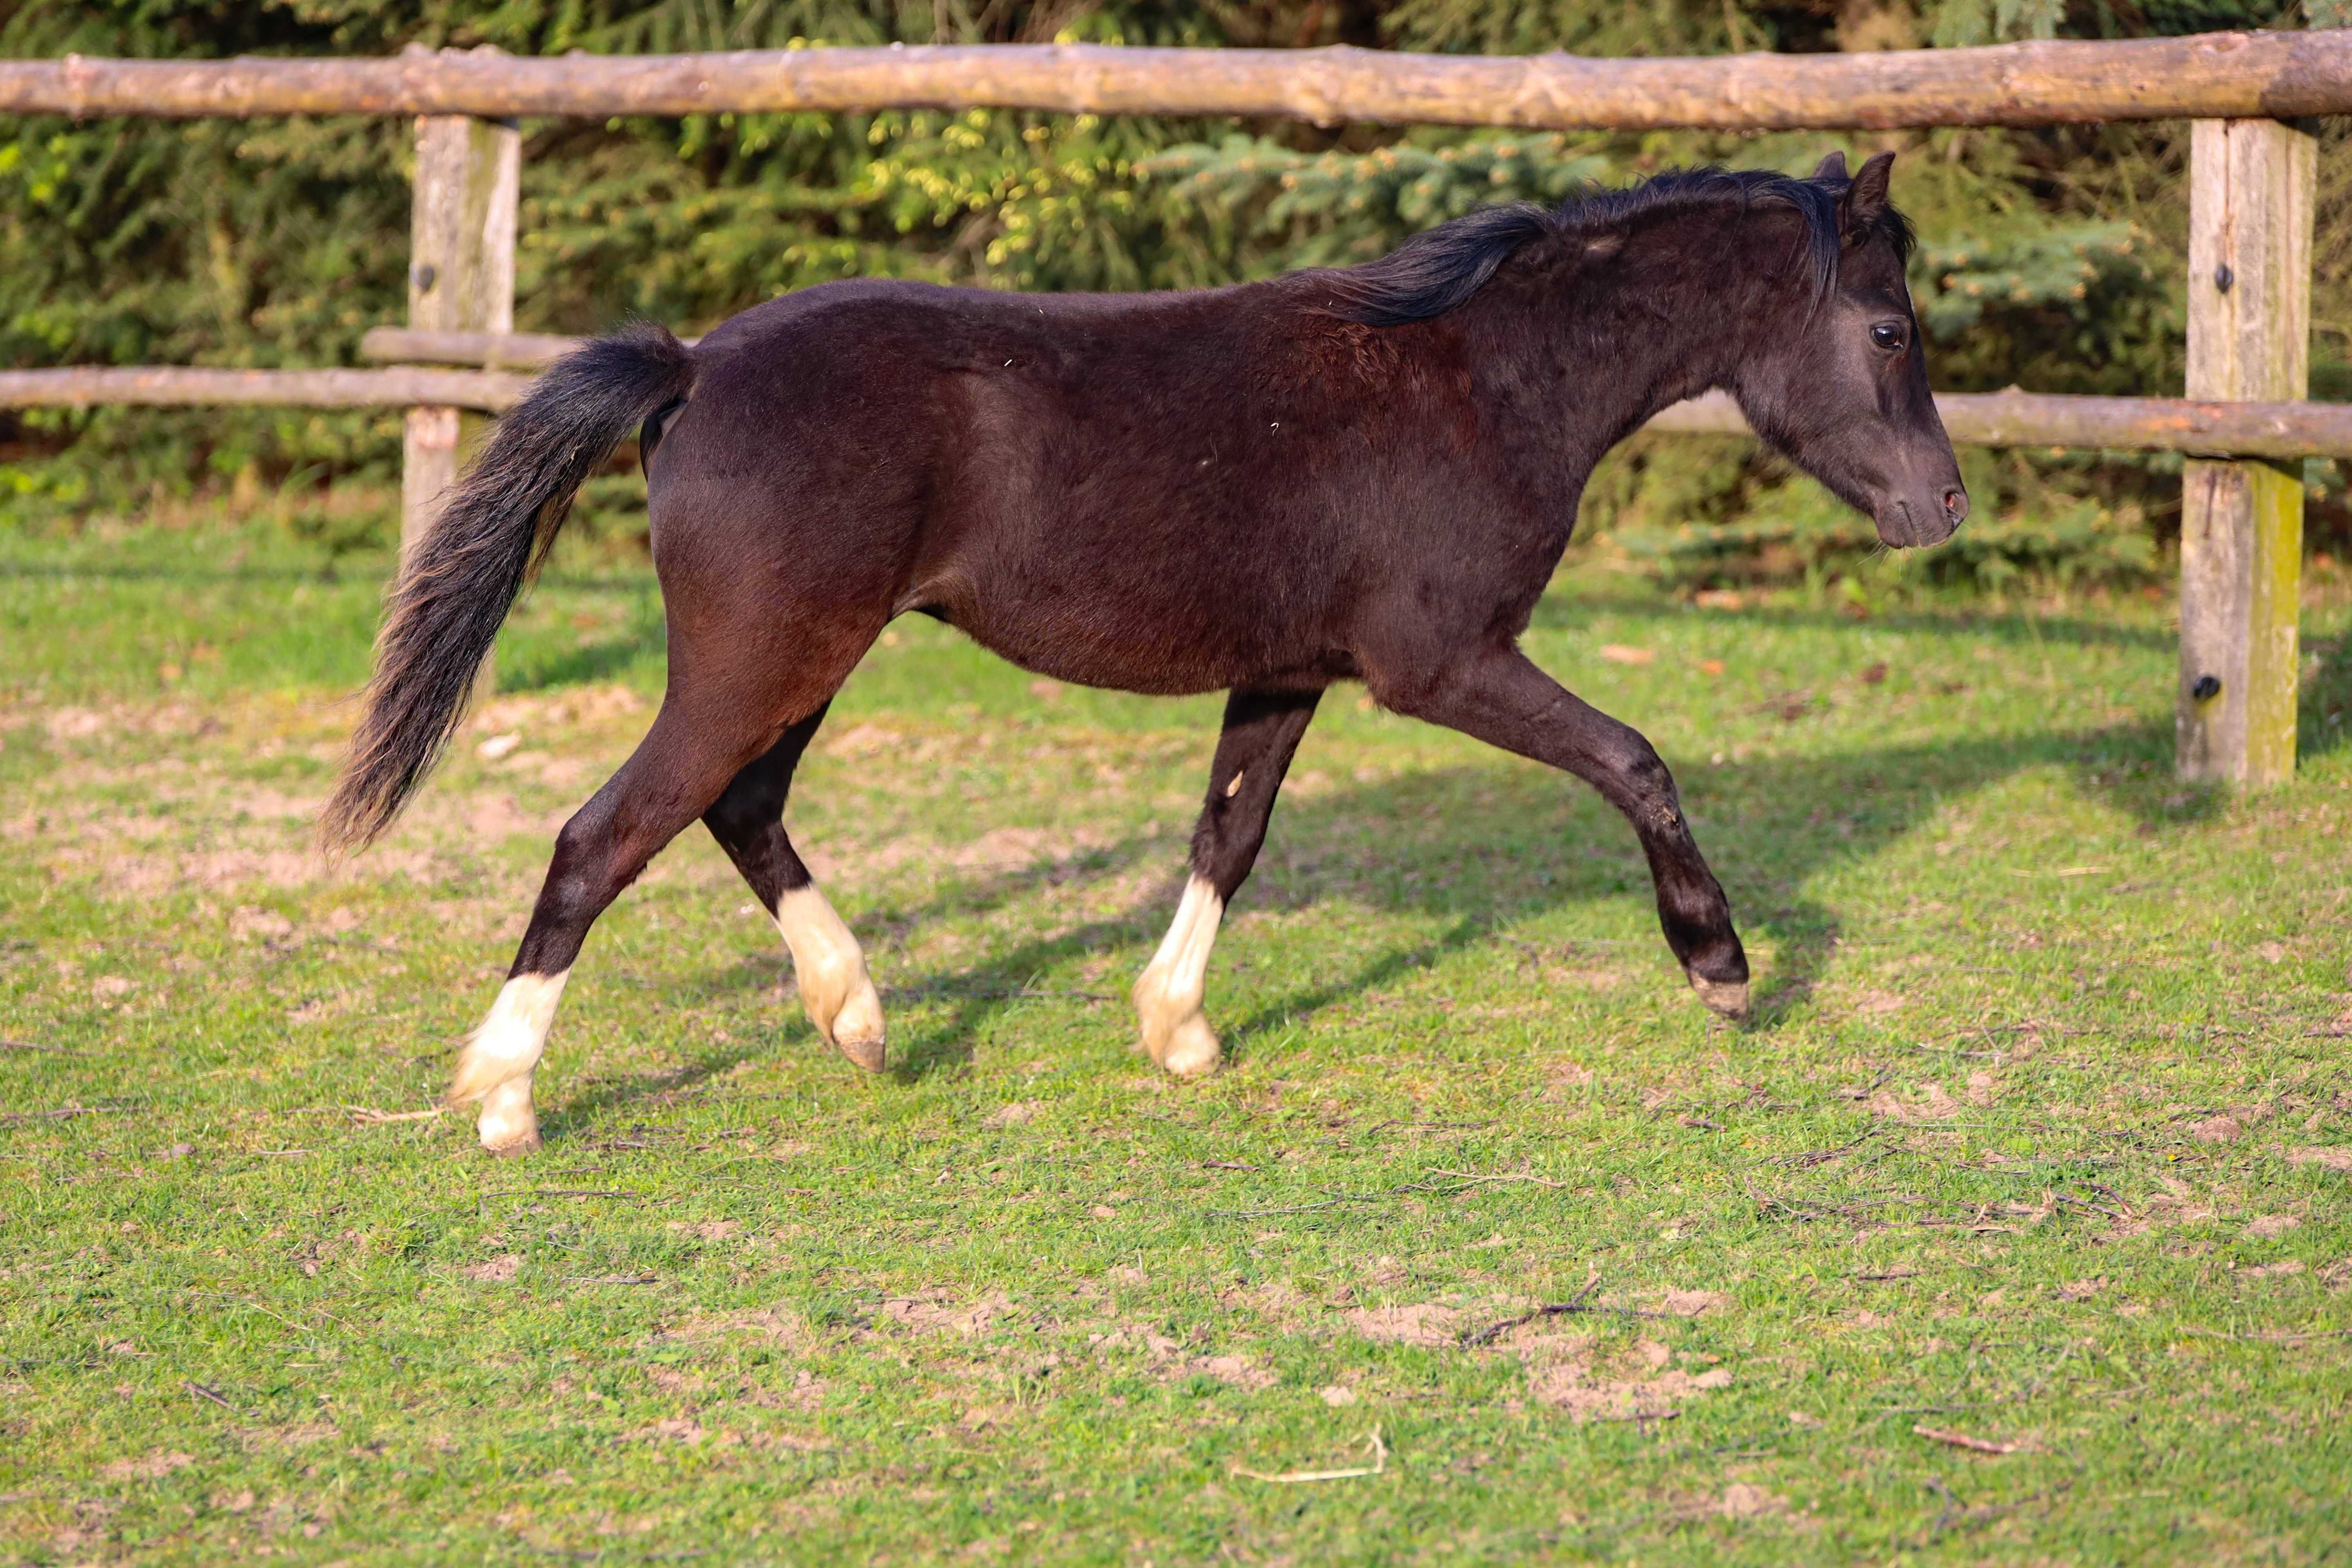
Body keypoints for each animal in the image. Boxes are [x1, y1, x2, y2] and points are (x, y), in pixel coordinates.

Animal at [322, 150, 1957, 1152]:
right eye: (1888, 331)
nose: (1939, 505)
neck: (1476, 377)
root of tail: (696, 365)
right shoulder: (1441, 662)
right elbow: (1634, 758)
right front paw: (1721, 968)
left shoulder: (1291, 667)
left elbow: (1227, 835)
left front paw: (1176, 1032)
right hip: (759, 661)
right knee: (602, 837)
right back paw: (505, 1098)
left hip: (799, 667)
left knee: (738, 809)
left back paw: (858, 1019)